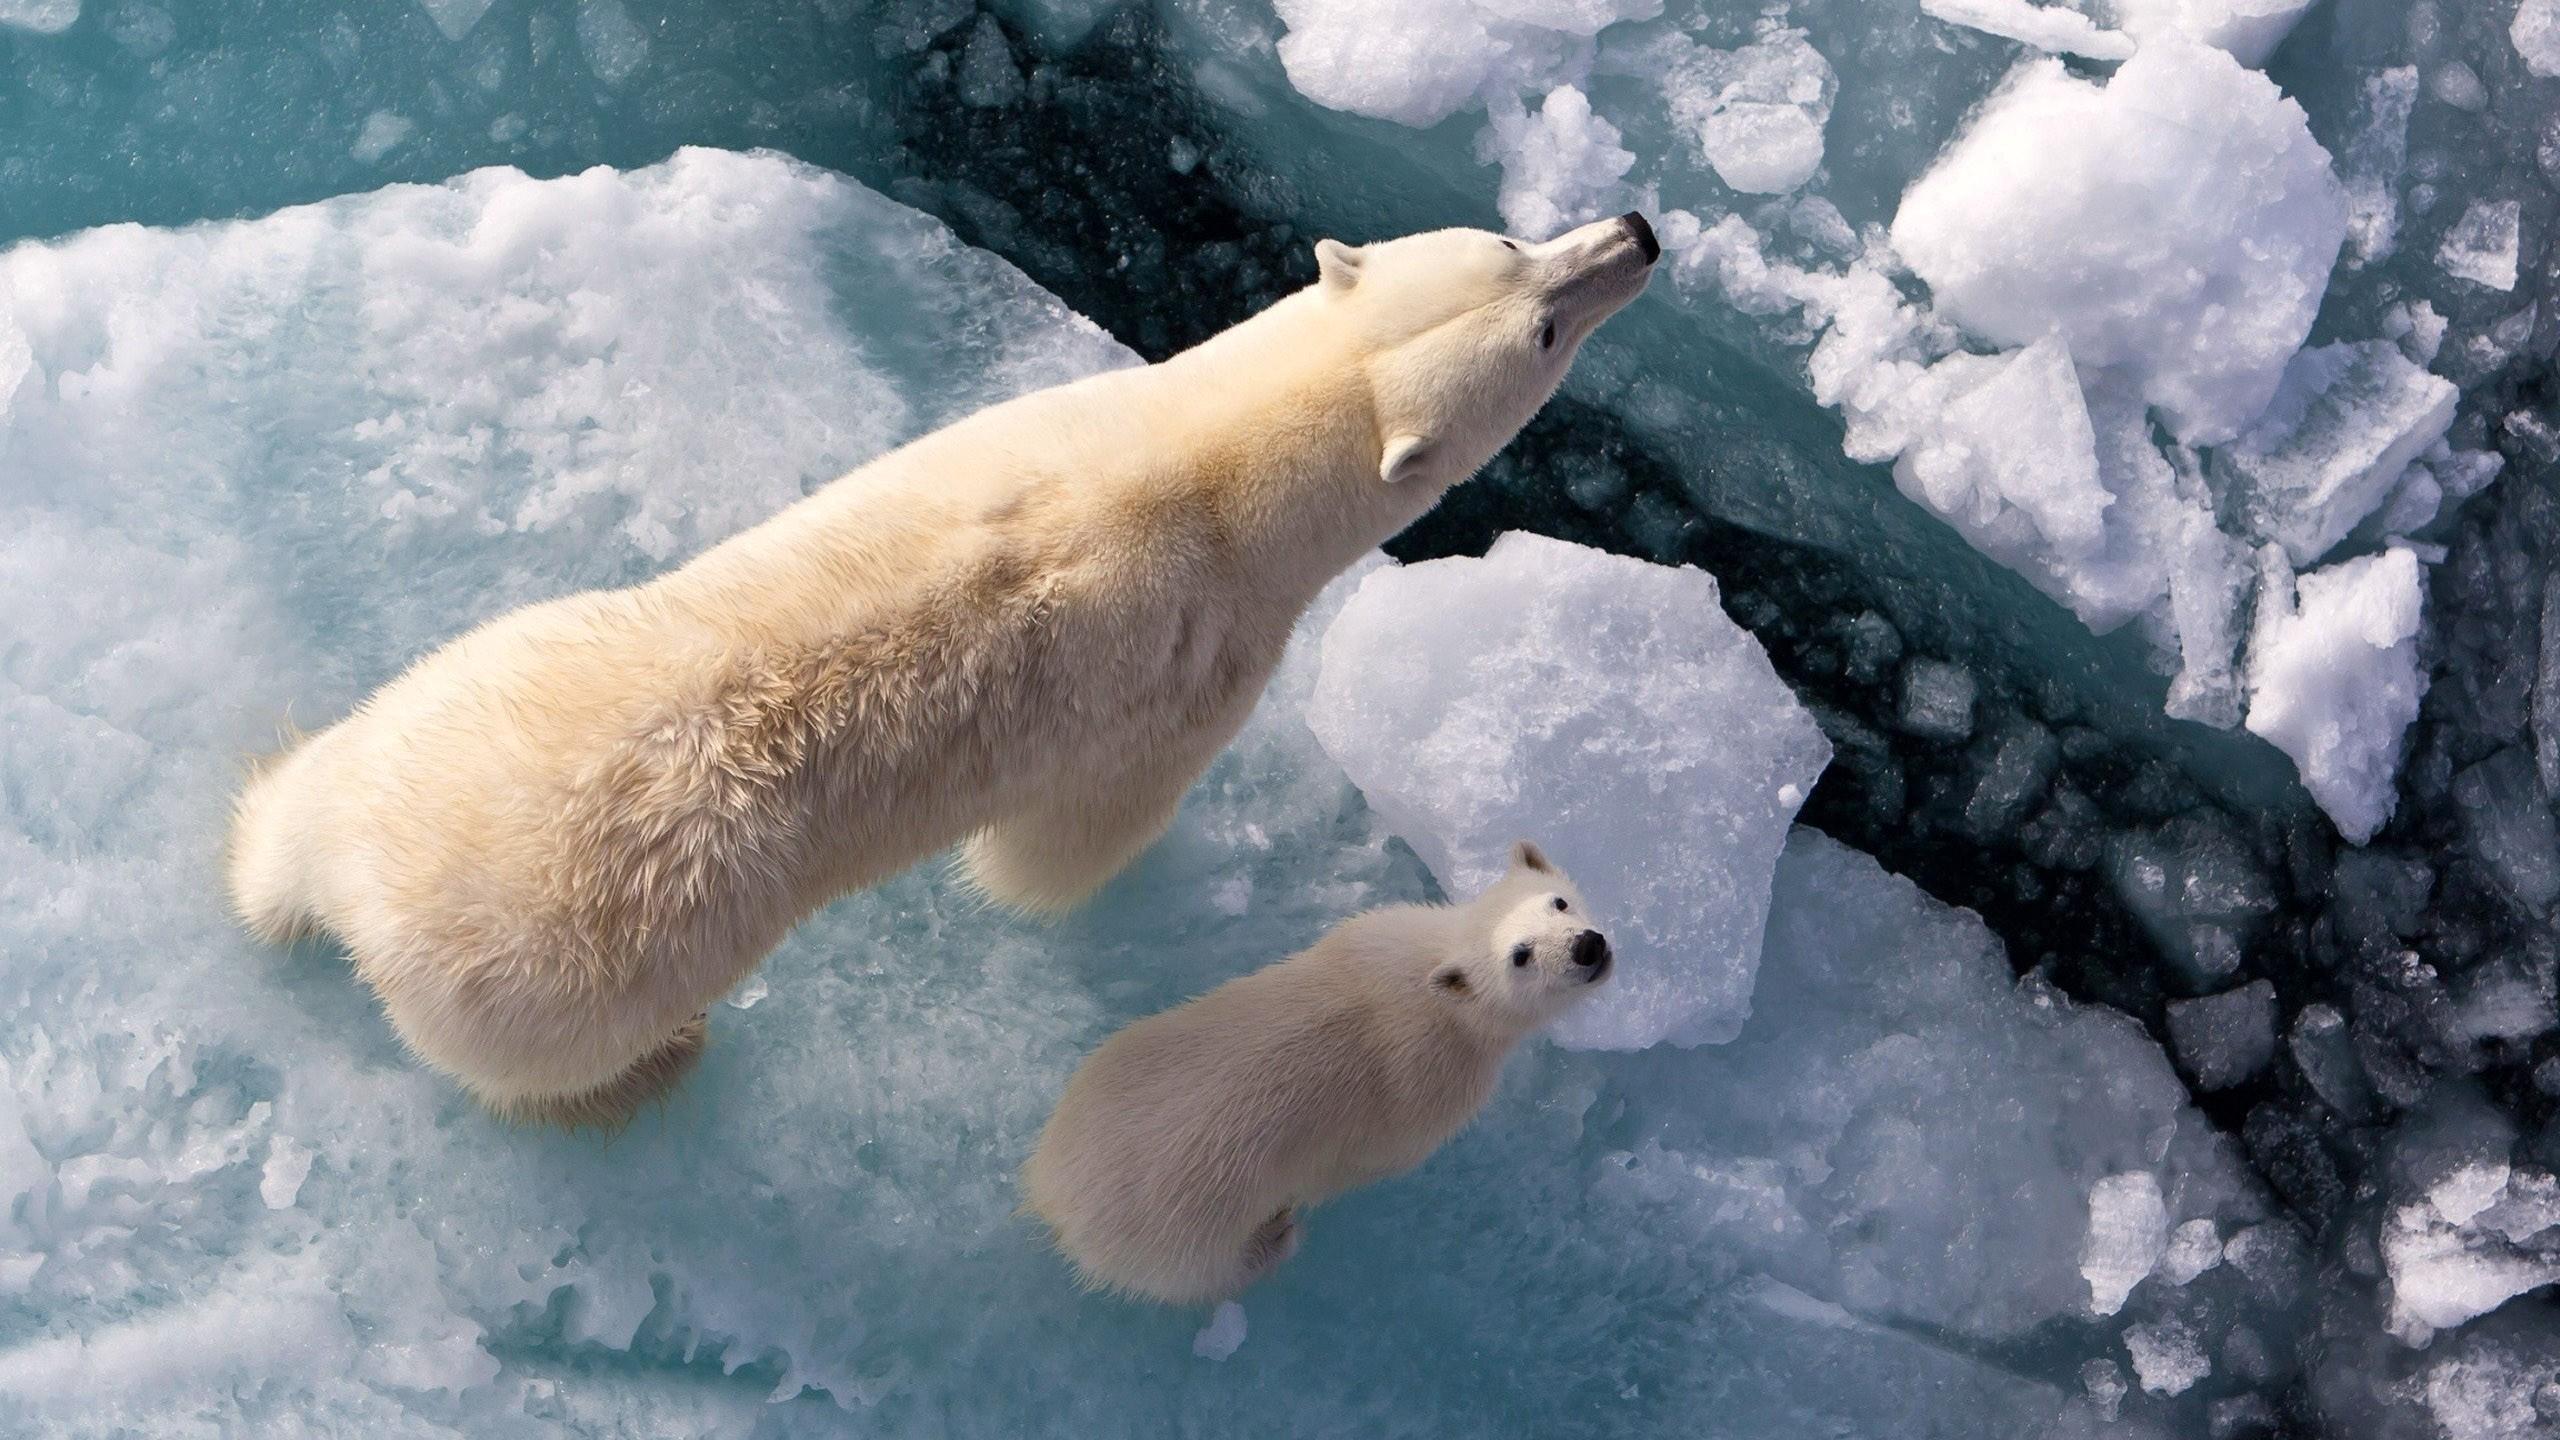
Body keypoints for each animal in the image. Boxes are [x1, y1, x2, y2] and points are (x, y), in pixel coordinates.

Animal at [225, 214, 1659, 1126]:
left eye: (1511, 250)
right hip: (565, 972)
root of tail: (367, 887)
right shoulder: (1195, 669)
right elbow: (1070, 845)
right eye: (1540, 318)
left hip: (461, 685)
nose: (1639, 232)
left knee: (306, 790)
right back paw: (658, 1066)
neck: (1207, 468)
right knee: (547, 1061)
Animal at [1019, 841, 1612, 1305]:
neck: (1427, 980)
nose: (1587, 946)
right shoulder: (1428, 1093)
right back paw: (1277, 1237)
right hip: (1182, 1232)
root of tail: (1052, 1195)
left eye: (1558, 901)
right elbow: (1375, 1160)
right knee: (1207, 1274)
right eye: (1520, 955)